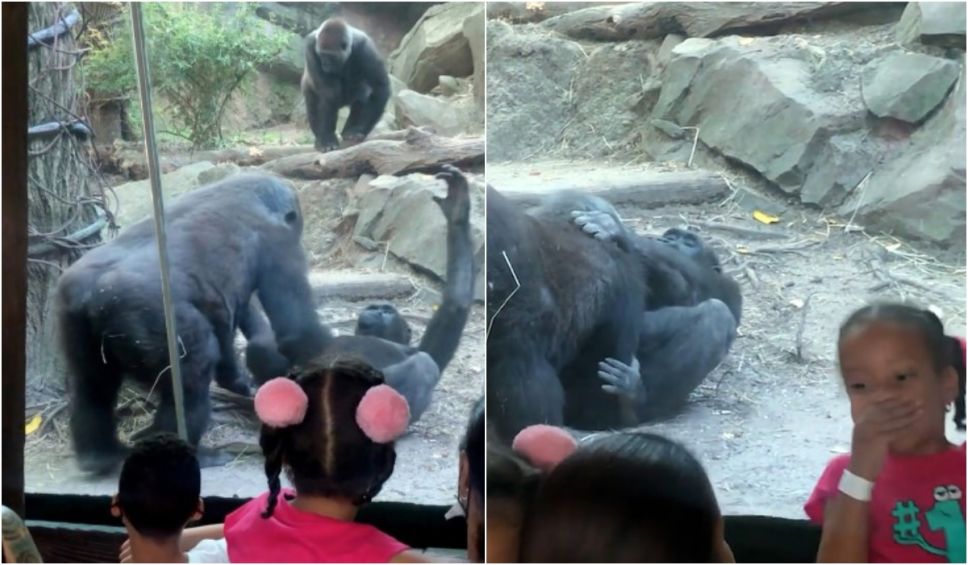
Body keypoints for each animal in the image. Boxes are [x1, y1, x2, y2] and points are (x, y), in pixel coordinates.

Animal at [60, 172, 332, 472]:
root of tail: (91, 294)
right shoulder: (277, 241)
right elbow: (297, 329)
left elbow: (242, 318)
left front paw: (243, 378)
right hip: (147, 316)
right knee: (194, 370)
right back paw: (185, 452)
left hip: (72, 315)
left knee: (91, 385)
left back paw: (99, 454)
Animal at [244, 164, 478, 424]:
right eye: (377, 308)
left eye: (387, 311)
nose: (377, 310)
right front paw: (457, 212)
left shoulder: (423, 348)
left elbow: (454, 306)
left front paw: (458, 214)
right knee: (263, 345)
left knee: (422, 366)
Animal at [304, 18, 392, 153]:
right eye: (321, 55)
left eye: (331, 57)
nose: (325, 65)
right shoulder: (310, 46)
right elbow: (329, 94)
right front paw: (327, 139)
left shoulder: (366, 48)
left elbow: (380, 87)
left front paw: (360, 129)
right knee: (312, 105)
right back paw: (320, 137)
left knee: (363, 95)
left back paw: (349, 131)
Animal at [572, 196, 744, 416]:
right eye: (671, 235)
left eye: (689, 243)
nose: (667, 241)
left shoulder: (726, 286)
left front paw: (618, 230)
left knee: (717, 315)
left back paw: (636, 398)